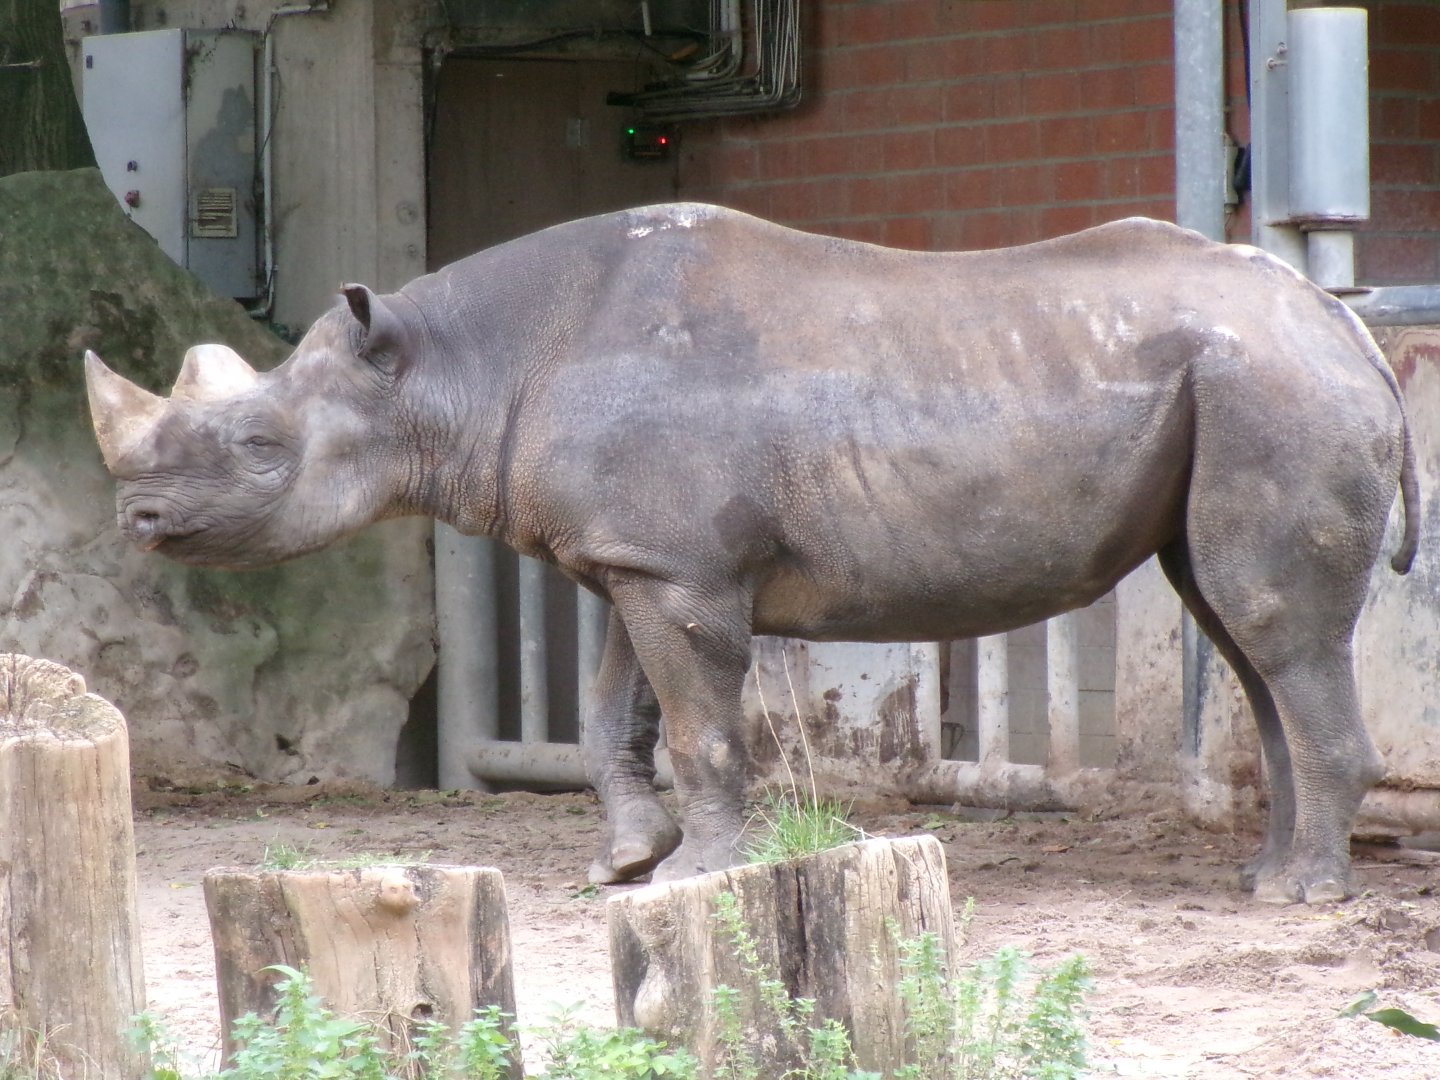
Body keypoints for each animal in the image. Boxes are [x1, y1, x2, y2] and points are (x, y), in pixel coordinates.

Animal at [85, 204, 1418, 904]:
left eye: (259, 447)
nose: (136, 525)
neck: (456, 368)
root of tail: (1346, 325)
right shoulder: (634, 559)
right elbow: (609, 712)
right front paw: (626, 864)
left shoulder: (675, 570)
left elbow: (700, 724)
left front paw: (699, 878)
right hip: (1248, 385)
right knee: (1241, 634)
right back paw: (1270, 879)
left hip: (1273, 391)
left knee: (1267, 624)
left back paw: (1303, 897)